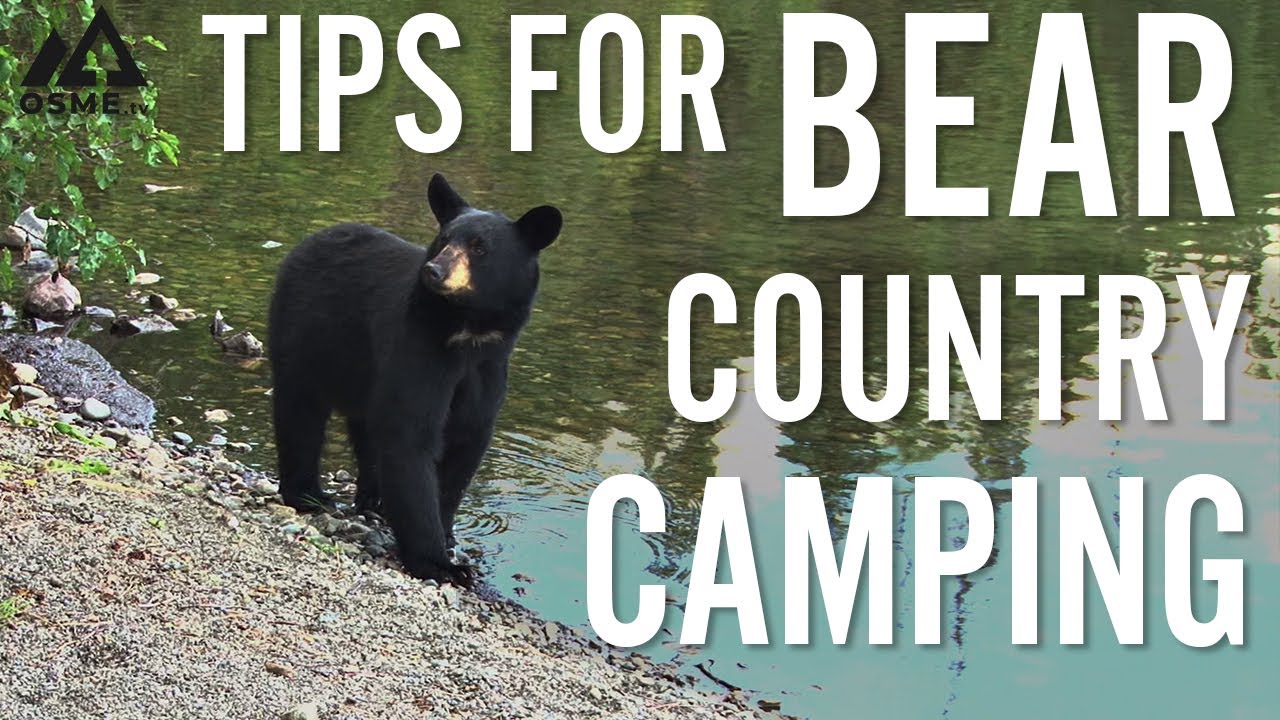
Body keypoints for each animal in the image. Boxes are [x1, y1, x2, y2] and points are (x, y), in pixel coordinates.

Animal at [267, 174, 561, 585]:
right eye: (444, 239)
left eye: (479, 247)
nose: (434, 271)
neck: (467, 334)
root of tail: (308, 240)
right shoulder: (417, 347)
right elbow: (411, 436)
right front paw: (439, 563)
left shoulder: (488, 369)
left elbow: (466, 442)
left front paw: (448, 534)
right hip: (305, 337)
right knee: (301, 412)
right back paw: (309, 494)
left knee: (365, 430)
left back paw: (372, 501)